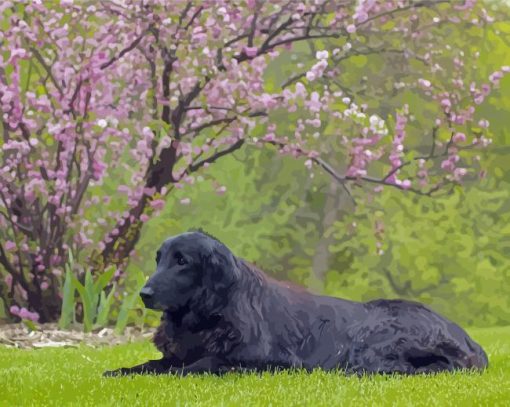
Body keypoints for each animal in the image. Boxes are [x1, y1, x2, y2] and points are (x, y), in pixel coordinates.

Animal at [102, 231, 486, 378]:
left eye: (182, 261)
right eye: (159, 259)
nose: (144, 293)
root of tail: (470, 340)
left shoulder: (269, 359)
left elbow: (204, 363)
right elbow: (150, 364)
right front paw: (120, 371)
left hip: (371, 338)